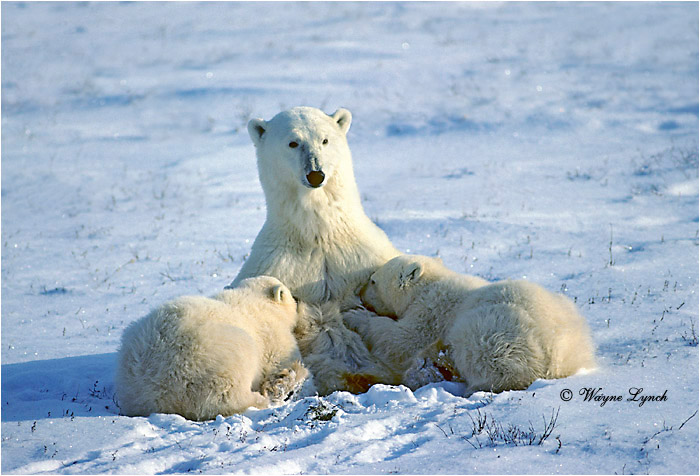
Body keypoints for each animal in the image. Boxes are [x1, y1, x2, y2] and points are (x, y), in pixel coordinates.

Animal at [115, 276, 309, 421]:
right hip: (215, 356)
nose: (299, 299)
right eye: (290, 294)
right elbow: (281, 358)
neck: (255, 300)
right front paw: (286, 380)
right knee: (226, 393)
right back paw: (258, 399)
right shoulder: (271, 333)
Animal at [227, 107, 401, 394]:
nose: (316, 174)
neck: (319, 235)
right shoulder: (275, 265)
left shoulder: (363, 258)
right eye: (293, 142)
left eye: (325, 140)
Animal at [345, 255, 596, 394]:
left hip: (496, 331)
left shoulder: (432, 310)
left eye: (373, 280)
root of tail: (559, 360)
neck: (430, 283)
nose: (359, 293)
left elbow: (402, 340)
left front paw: (353, 315)